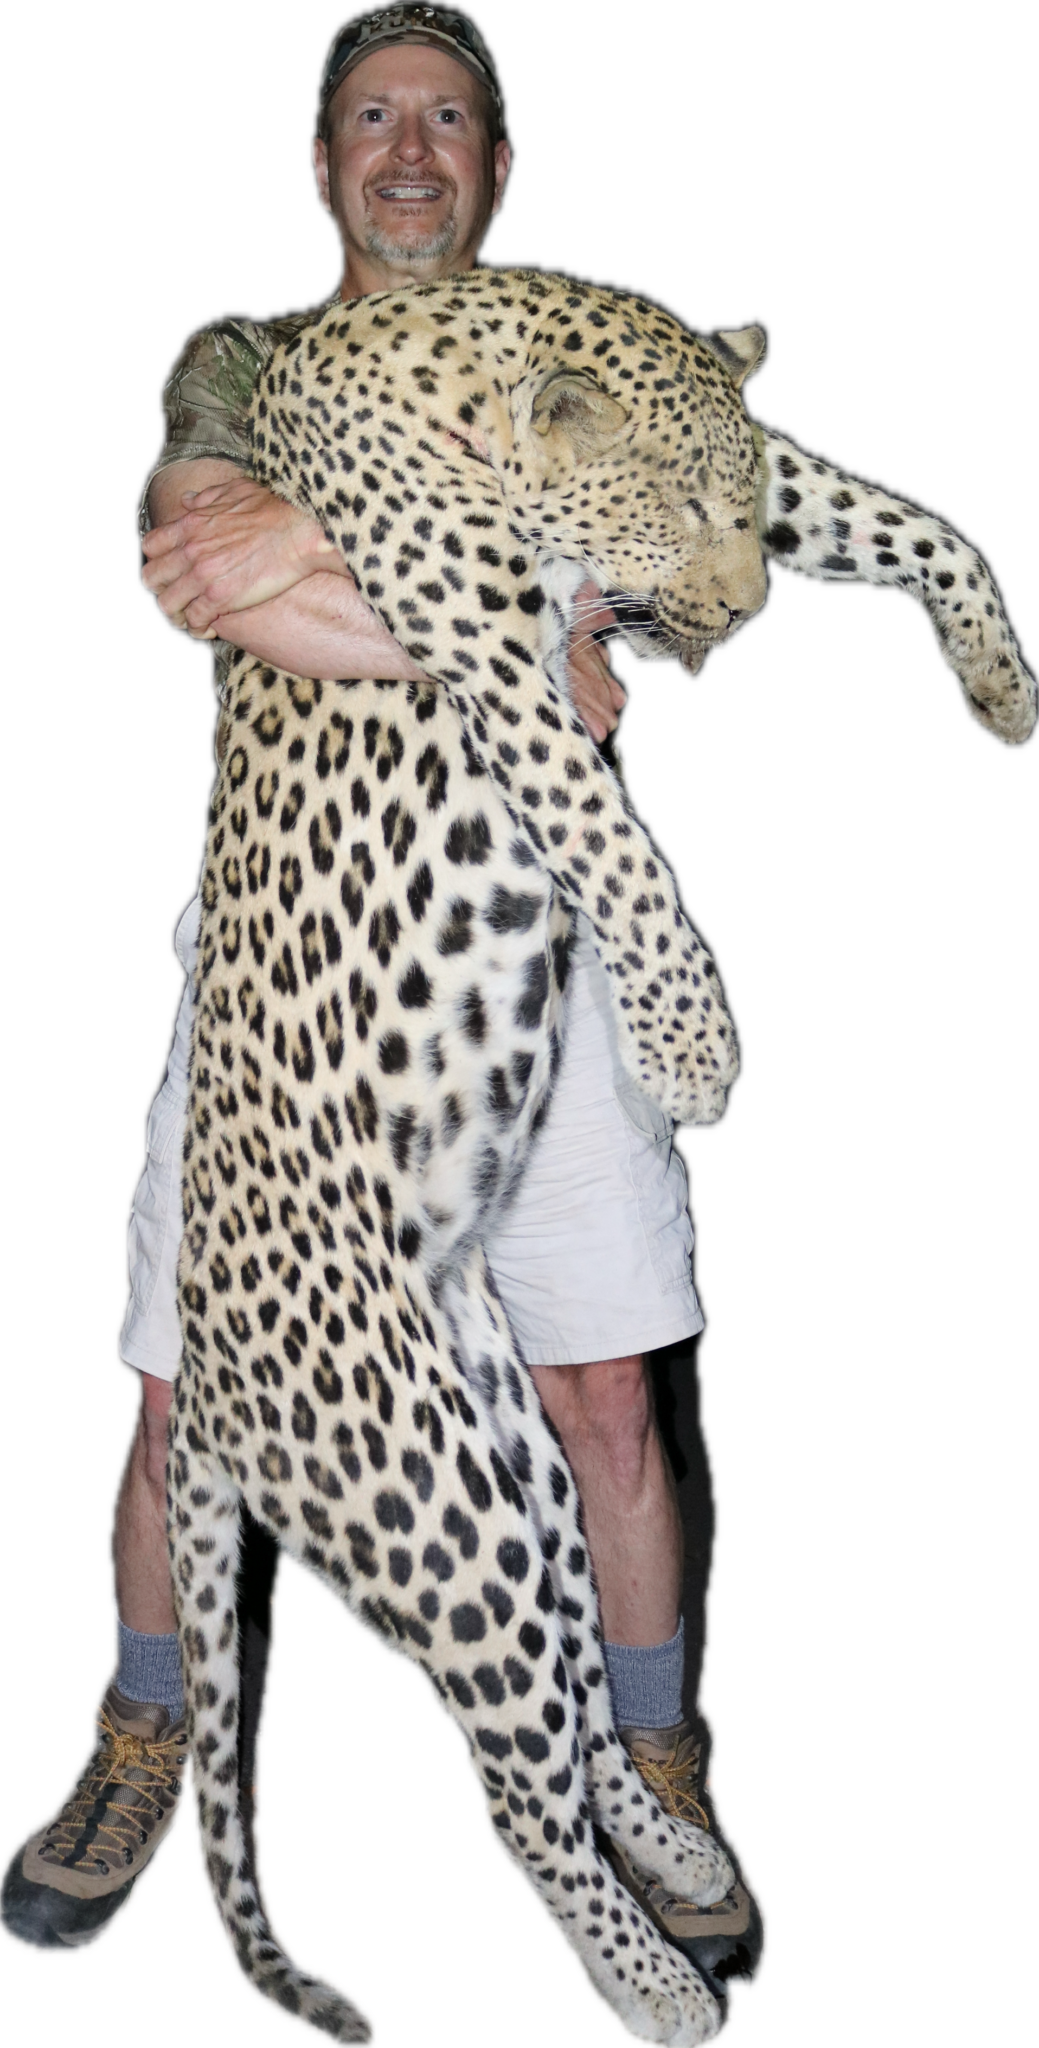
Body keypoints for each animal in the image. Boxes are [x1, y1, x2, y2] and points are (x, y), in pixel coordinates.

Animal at [169, 268, 1034, 2048]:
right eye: (678, 510)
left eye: (732, 505)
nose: (742, 618)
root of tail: (207, 1391)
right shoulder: (484, 645)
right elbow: (602, 825)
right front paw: (689, 1040)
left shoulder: (763, 476)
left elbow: (910, 522)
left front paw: (997, 681)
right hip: (426, 1505)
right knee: (511, 1782)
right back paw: (652, 1987)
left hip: (523, 1469)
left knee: (568, 1705)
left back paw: (669, 1842)